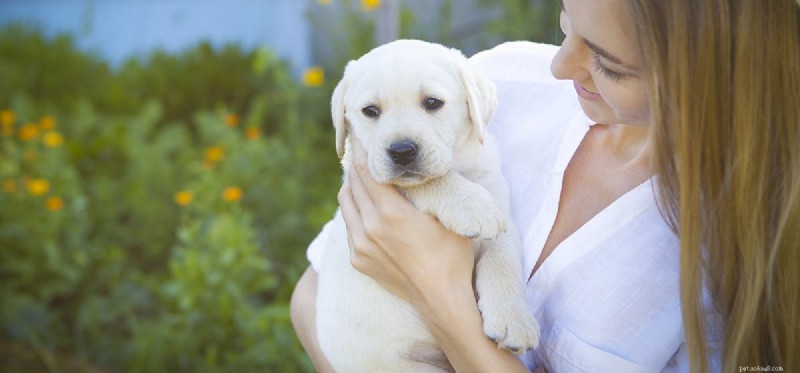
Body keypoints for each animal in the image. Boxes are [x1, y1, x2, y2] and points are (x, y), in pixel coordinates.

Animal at [316, 40, 540, 372]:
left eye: (433, 103)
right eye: (370, 111)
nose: (401, 151)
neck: (460, 165)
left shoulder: (501, 207)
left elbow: (502, 259)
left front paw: (514, 320)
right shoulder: (373, 175)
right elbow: (431, 182)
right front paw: (471, 204)